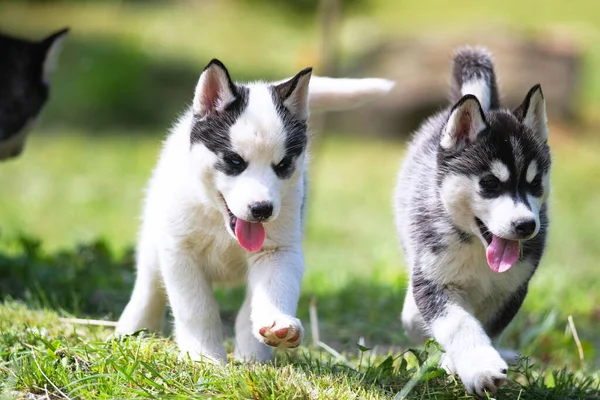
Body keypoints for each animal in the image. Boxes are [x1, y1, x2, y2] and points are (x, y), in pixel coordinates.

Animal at [117, 60, 396, 362]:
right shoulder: (180, 251)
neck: (220, 224)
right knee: (148, 285)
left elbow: (272, 292)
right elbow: (197, 310)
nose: (262, 209)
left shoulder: (278, 251)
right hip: (154, 238)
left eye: (283, 165)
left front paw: (272, 332)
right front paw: (206, 357)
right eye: (235, 161)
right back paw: (133, 326)